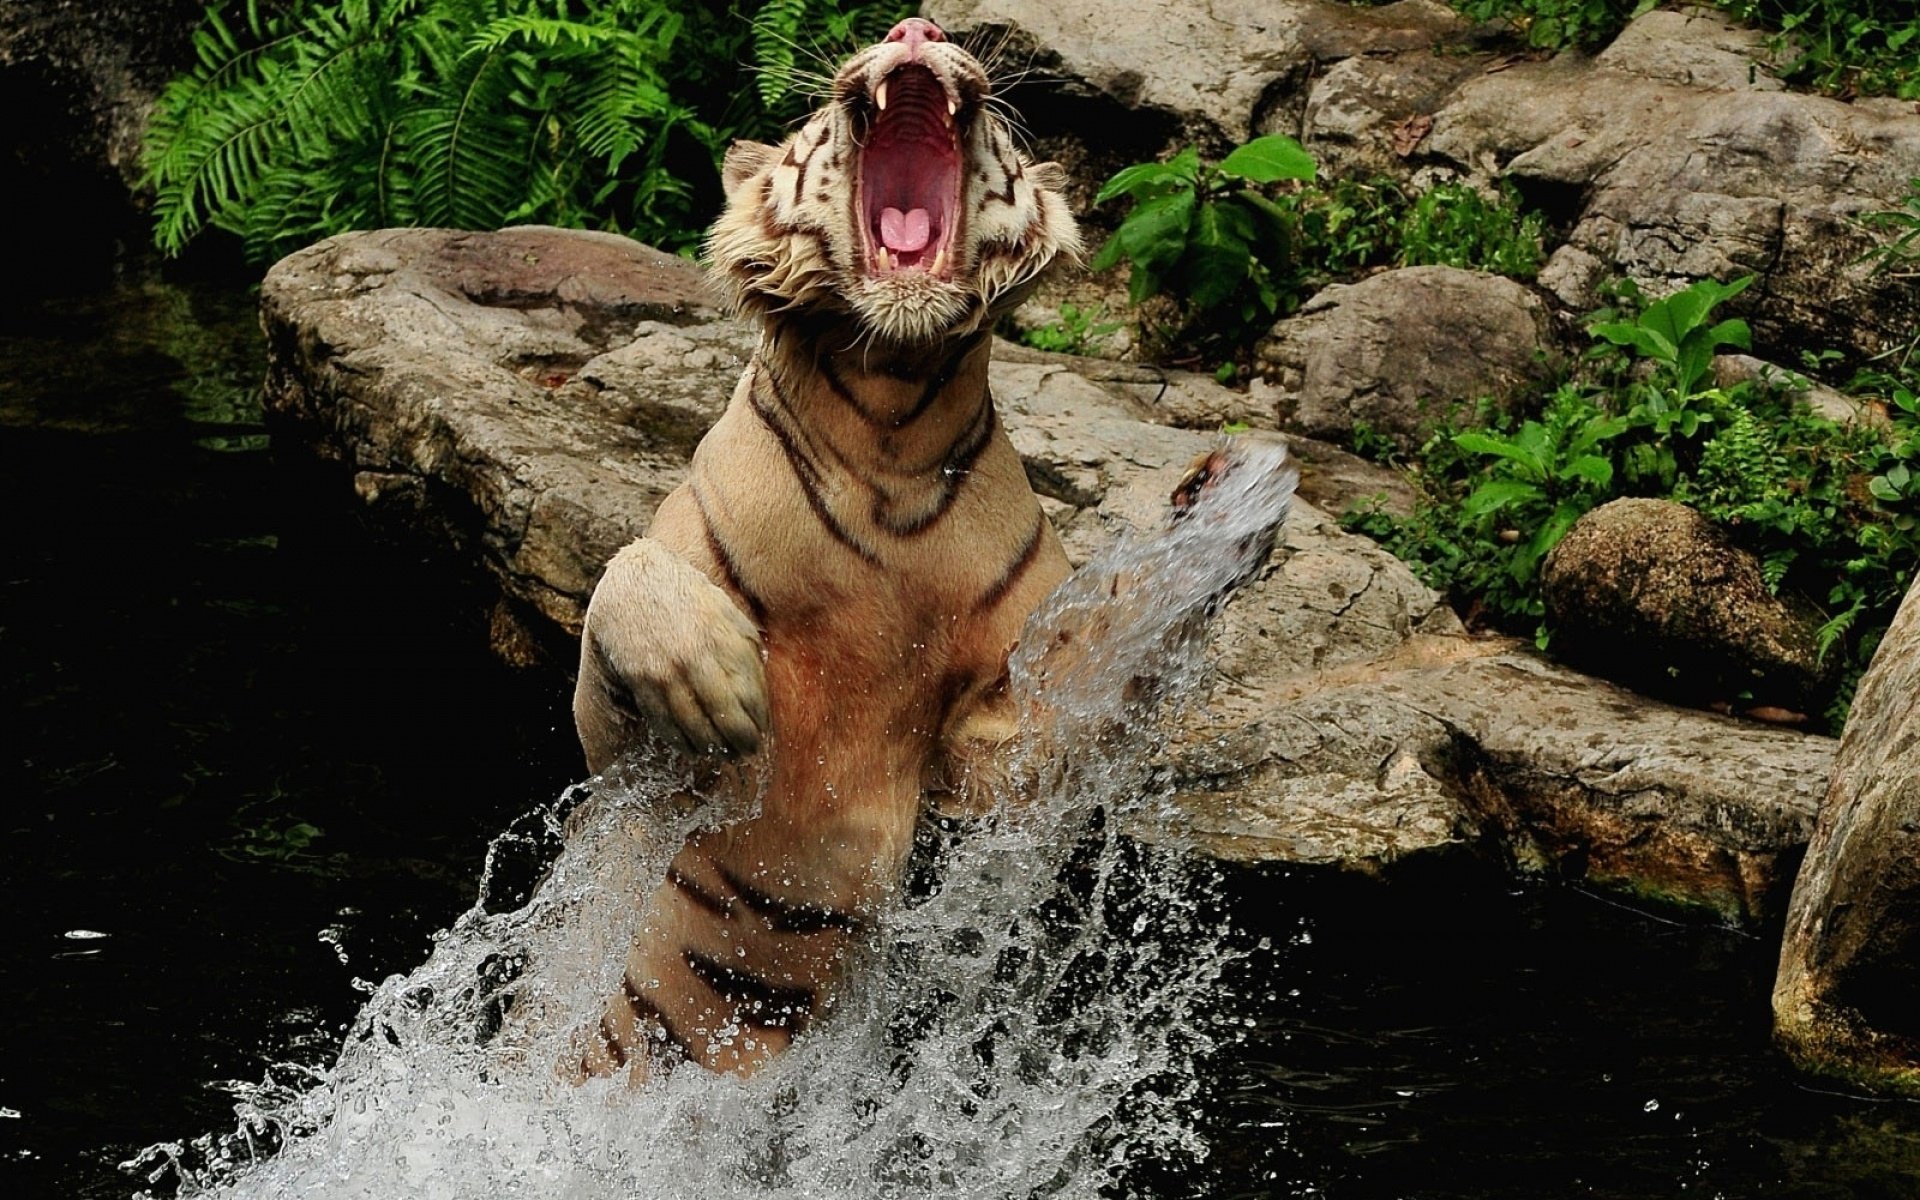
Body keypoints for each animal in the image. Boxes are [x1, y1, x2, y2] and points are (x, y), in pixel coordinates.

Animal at [569, 16, 1283, 1080]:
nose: (919, 28)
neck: (890, 427)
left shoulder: (999, 758)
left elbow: (1104, 667)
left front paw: (1228, 504)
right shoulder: (625, 766)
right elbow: (623, 583)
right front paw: (716, 682)